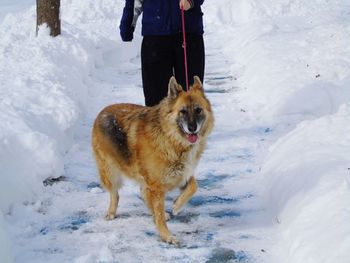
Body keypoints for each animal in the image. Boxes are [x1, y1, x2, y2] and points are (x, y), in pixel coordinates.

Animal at [91, 75, 213, 244]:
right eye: (182, 111)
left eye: (198, 110)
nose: (192, 128)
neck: (171, 139)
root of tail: (102, 112)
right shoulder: (156, 185)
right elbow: (159, 214)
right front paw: (167, 236)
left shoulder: (182, 175)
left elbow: (194, 186)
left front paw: (176, 206)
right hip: (109, 171)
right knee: (115, 193)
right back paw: (111, 212)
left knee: (143, 193)